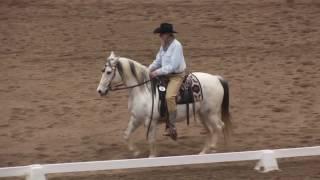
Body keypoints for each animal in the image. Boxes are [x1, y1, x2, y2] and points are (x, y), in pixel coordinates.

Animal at [96, 51, 231, 158]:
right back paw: (204, 152)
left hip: (211, 113)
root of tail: (216, 78)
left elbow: (151, 140)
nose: (100, 91)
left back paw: (212, 148)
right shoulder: (136, 118)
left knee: (219, 127)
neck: (143, 90)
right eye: (102, 70)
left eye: (108, 72)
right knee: (211, 130)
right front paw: (135, 152)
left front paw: (151, 157)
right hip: (202, 114)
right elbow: (126, 135)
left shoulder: (150, 121)